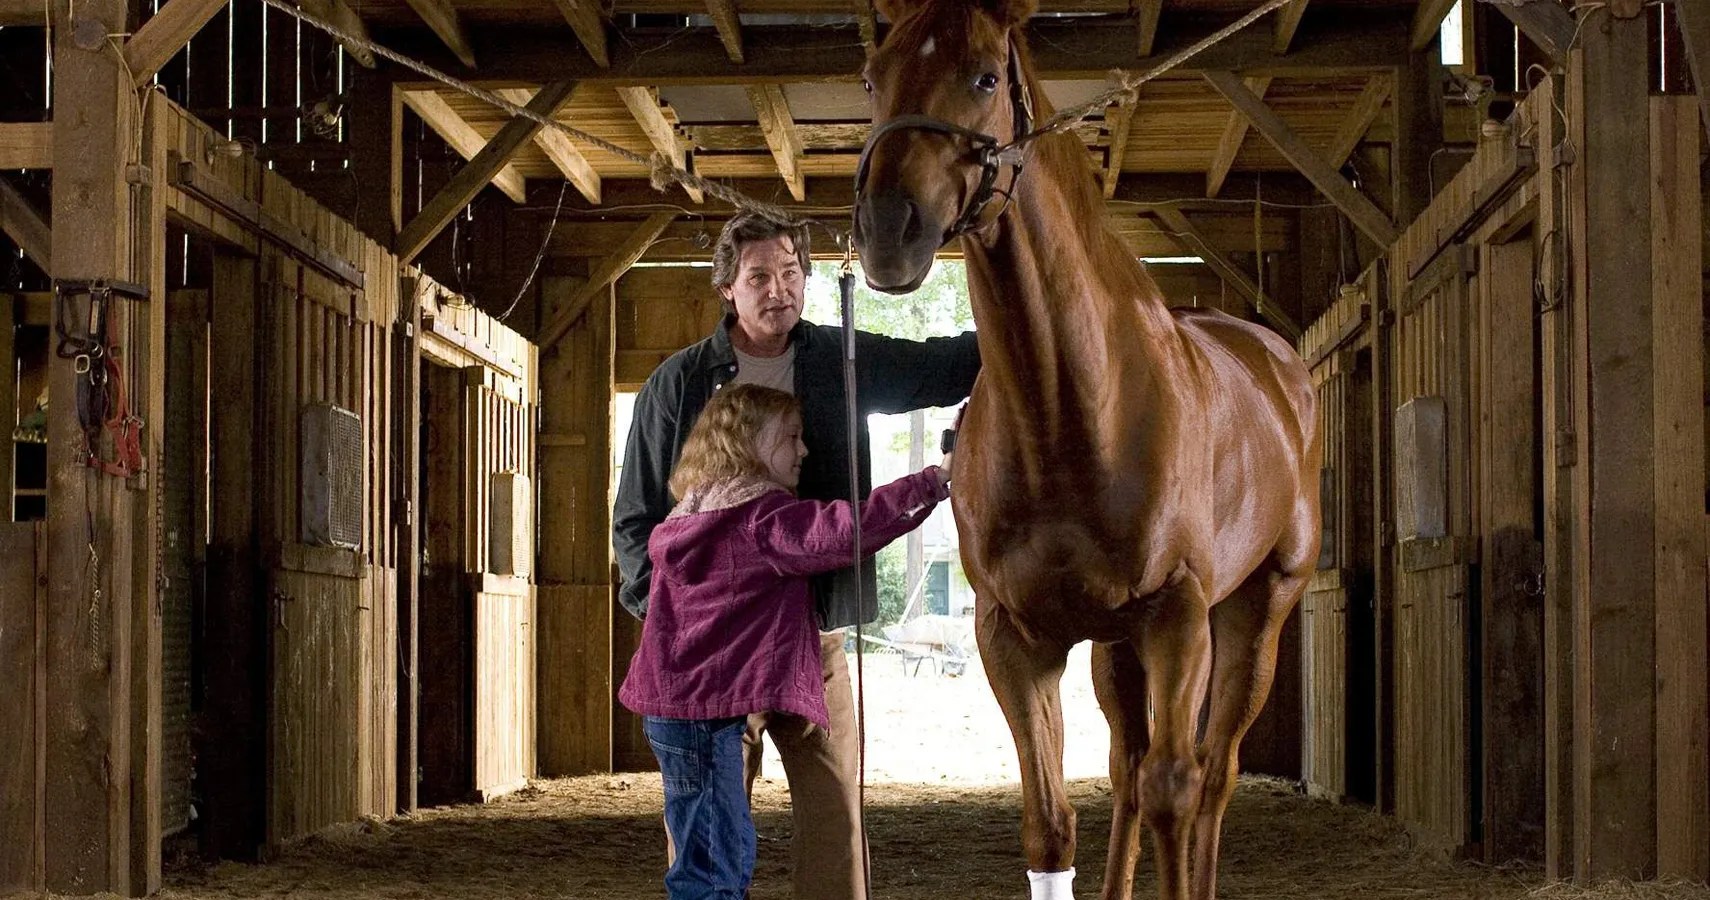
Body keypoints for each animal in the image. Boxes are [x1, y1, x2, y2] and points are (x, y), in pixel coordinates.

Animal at [849, 2, 1322, 898]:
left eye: (985, 76)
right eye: (872, 75)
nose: (889, 229)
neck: (1070, 414)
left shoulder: (1177, 616)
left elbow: (1175, 790)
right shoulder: (1014, 638)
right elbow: (1051, 822)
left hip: (1258, 612)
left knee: (1209, 775)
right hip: (1115, 645)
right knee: (1128, 767)